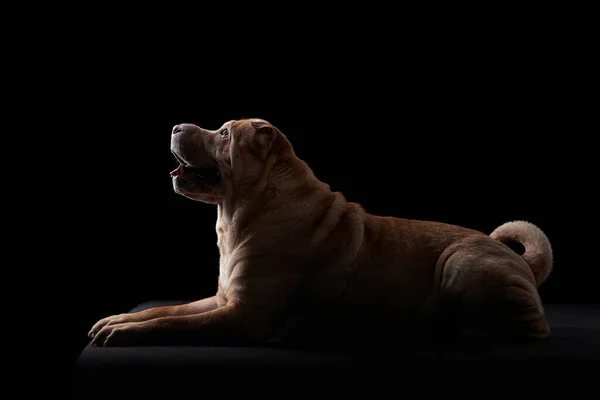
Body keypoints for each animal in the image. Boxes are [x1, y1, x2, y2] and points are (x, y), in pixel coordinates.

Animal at [86, 119, 552, 346]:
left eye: (222, 133)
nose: (176, 127)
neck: (246, 211)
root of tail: (518, 260)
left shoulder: (242, 316)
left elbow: (173, 324)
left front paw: (124, 333)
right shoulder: (222, 299)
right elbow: (164, 311)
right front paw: (117, 319)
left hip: (460, 264)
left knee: (531, 328)